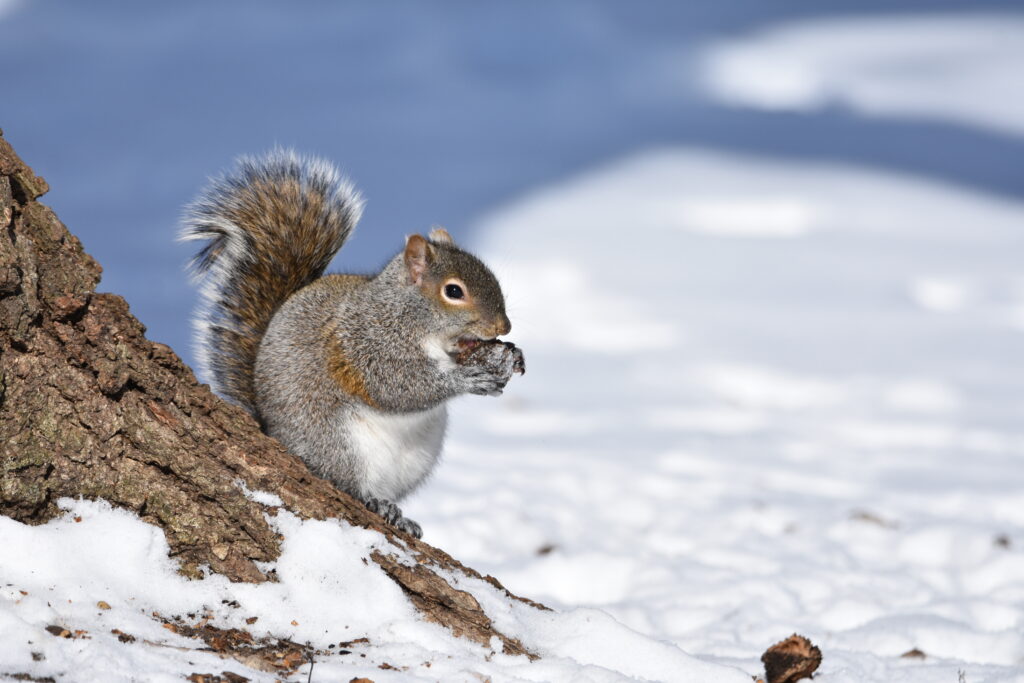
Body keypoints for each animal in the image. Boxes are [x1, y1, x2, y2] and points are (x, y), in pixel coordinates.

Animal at [181, 149, 524, 538]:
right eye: (453, 291)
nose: (504, 326)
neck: (408, 315)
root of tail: (272, 433)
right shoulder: (365, 344)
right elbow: (397, 387)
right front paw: (468, 379)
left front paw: (508, 360)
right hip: (336, 444)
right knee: (346, 483)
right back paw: (374, 501)